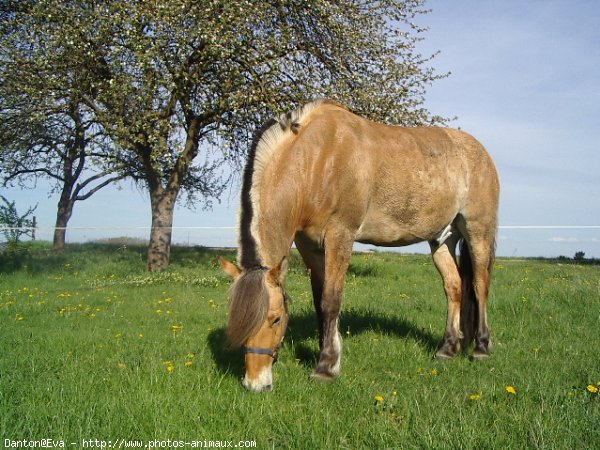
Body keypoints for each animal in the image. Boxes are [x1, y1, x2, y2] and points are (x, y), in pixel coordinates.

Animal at [218, 98, 500, 390]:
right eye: (236, 320)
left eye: (275, 318)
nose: (255, 383)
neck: (316, 160)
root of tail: (480, 152)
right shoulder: (309, 246)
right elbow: (319, 301)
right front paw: (325, 353)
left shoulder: (340, 235)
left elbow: (331, 300)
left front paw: (326, 367)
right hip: (443, 239)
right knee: (454, 286)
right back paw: (448, 348)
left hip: (478, 231)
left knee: (480, 286)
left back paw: (481, 347)